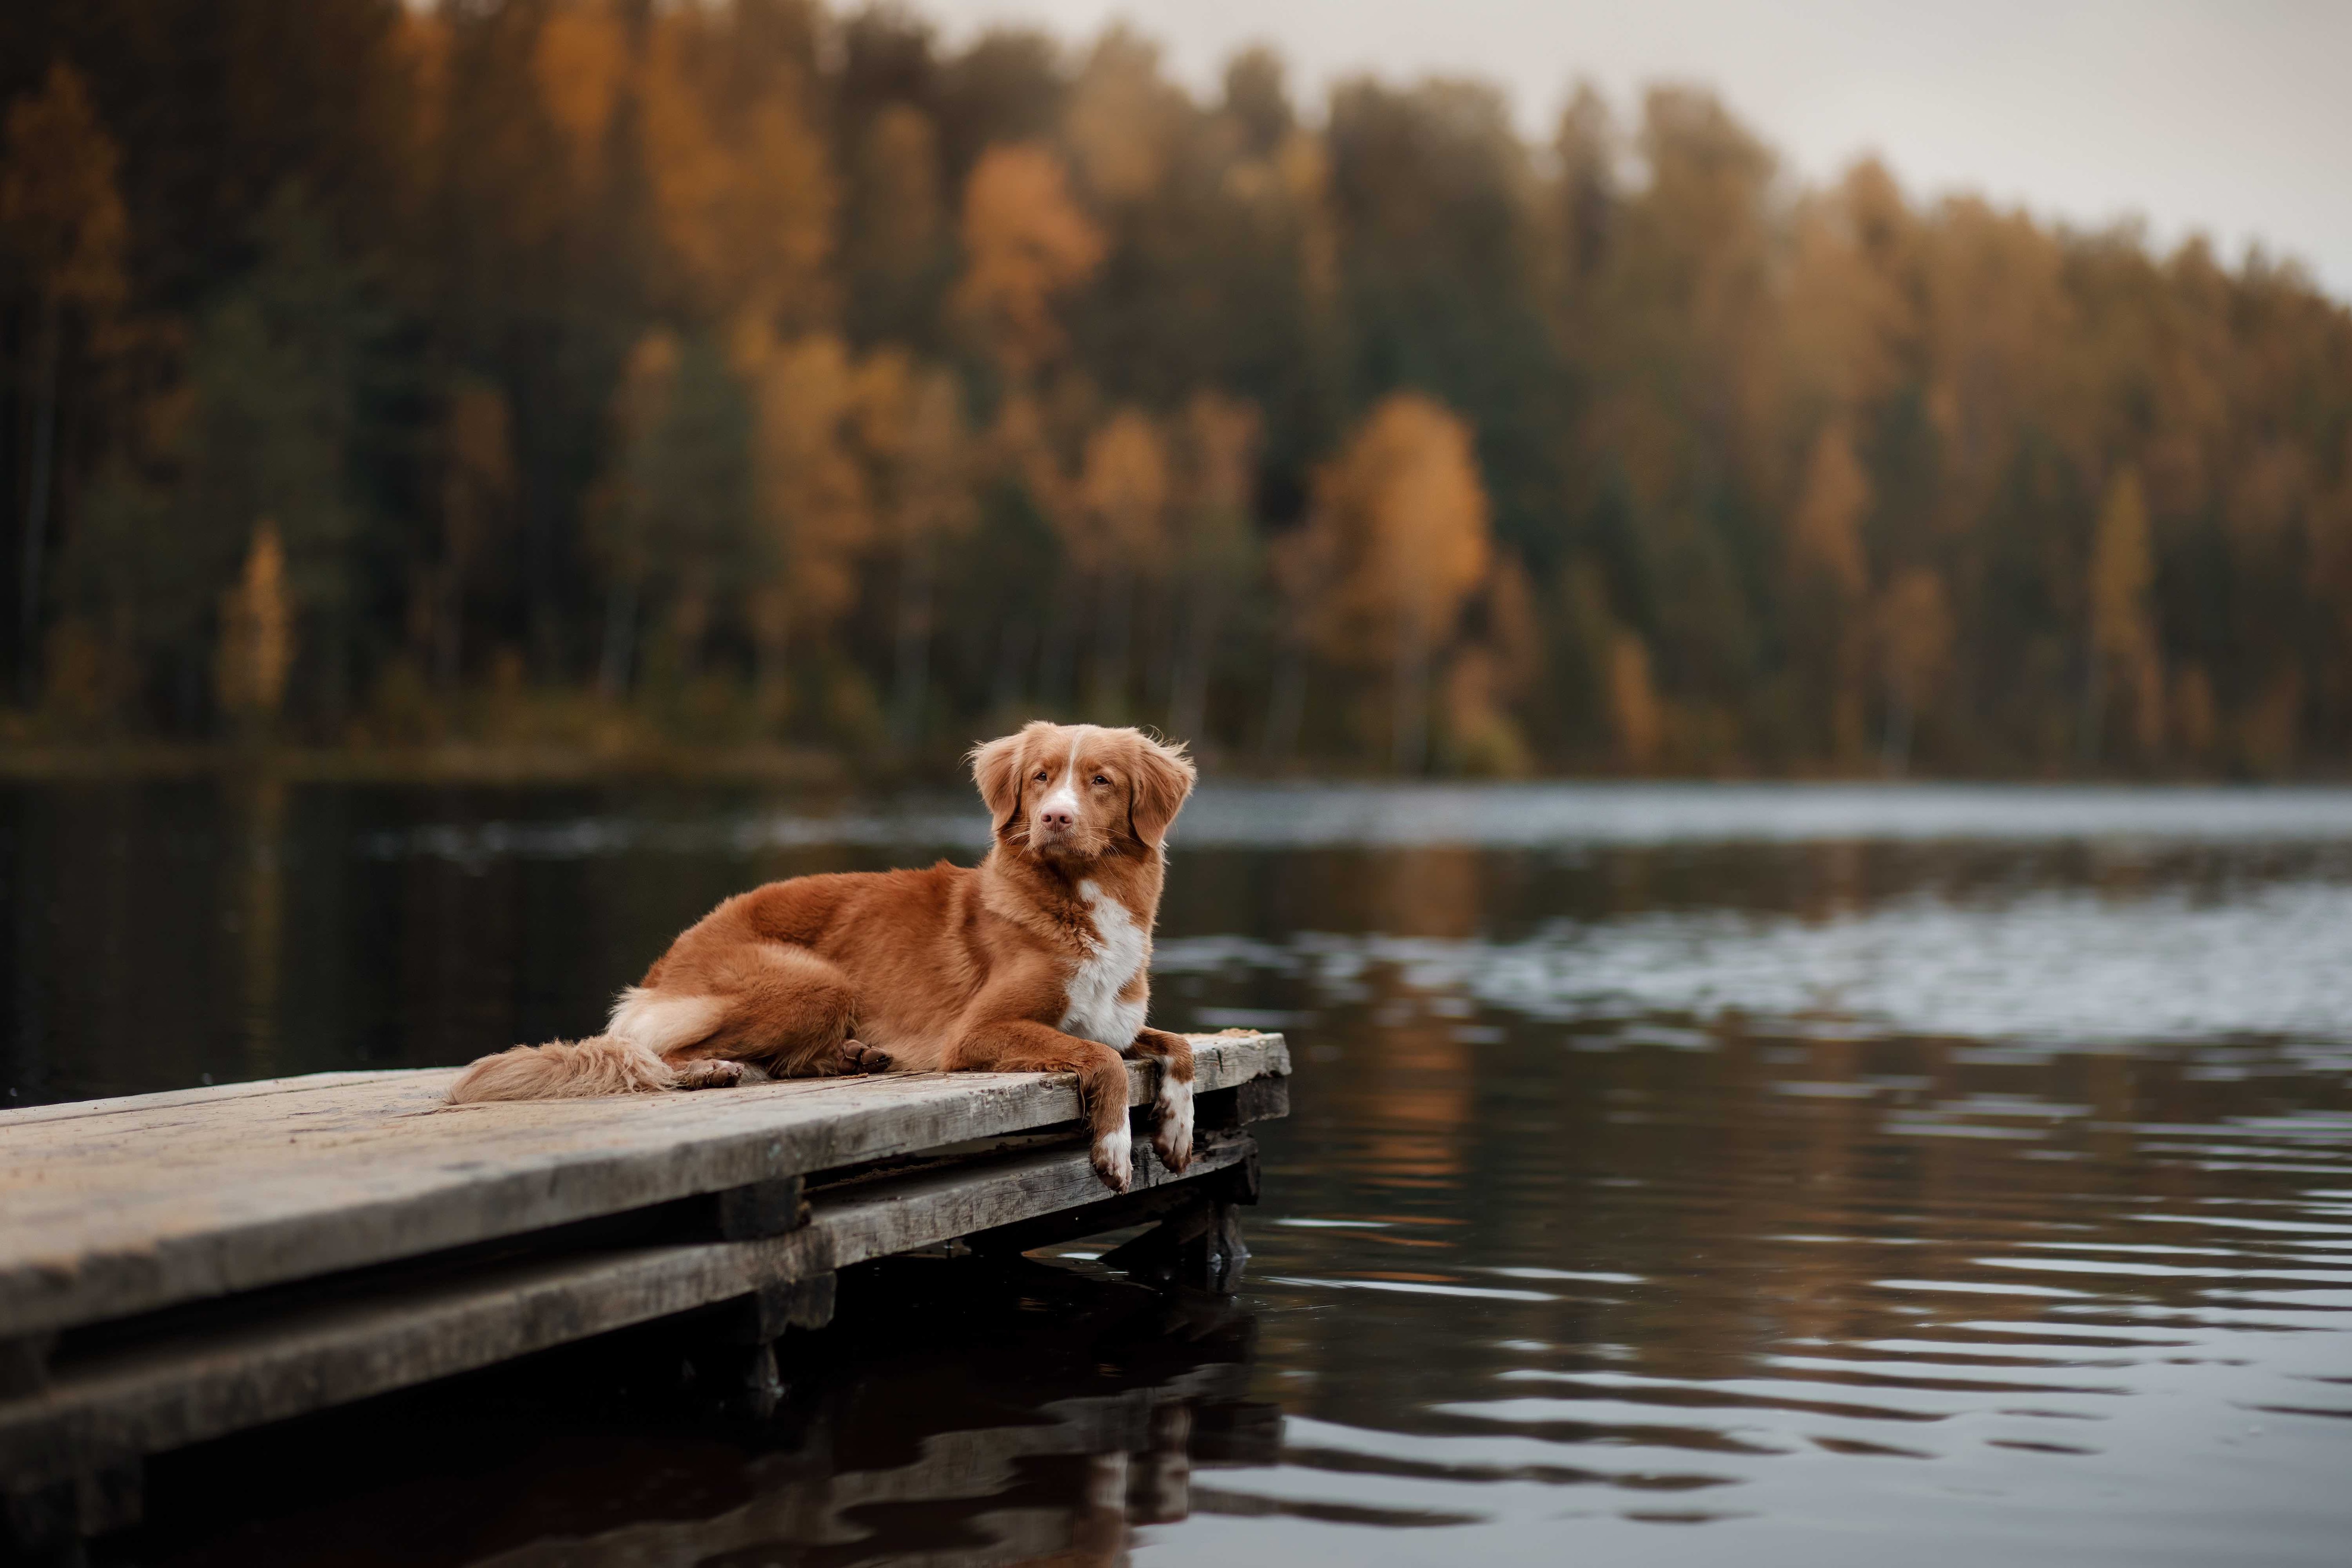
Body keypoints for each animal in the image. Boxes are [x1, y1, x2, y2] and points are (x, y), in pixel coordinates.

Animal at [452, 724, 1204, 1189]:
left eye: (1100, 781)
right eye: (1042, 778)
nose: (1054, 818)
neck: (1078, 900)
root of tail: (669, 958)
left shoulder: (1113, 1018)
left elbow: (1178, 1046)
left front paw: (1176, 1130)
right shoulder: (979, 1032)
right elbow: (1103, 1058)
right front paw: (1114, 1148)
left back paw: (852, 1056)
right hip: (816, 980)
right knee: (659, 1056)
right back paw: (714, 1070)